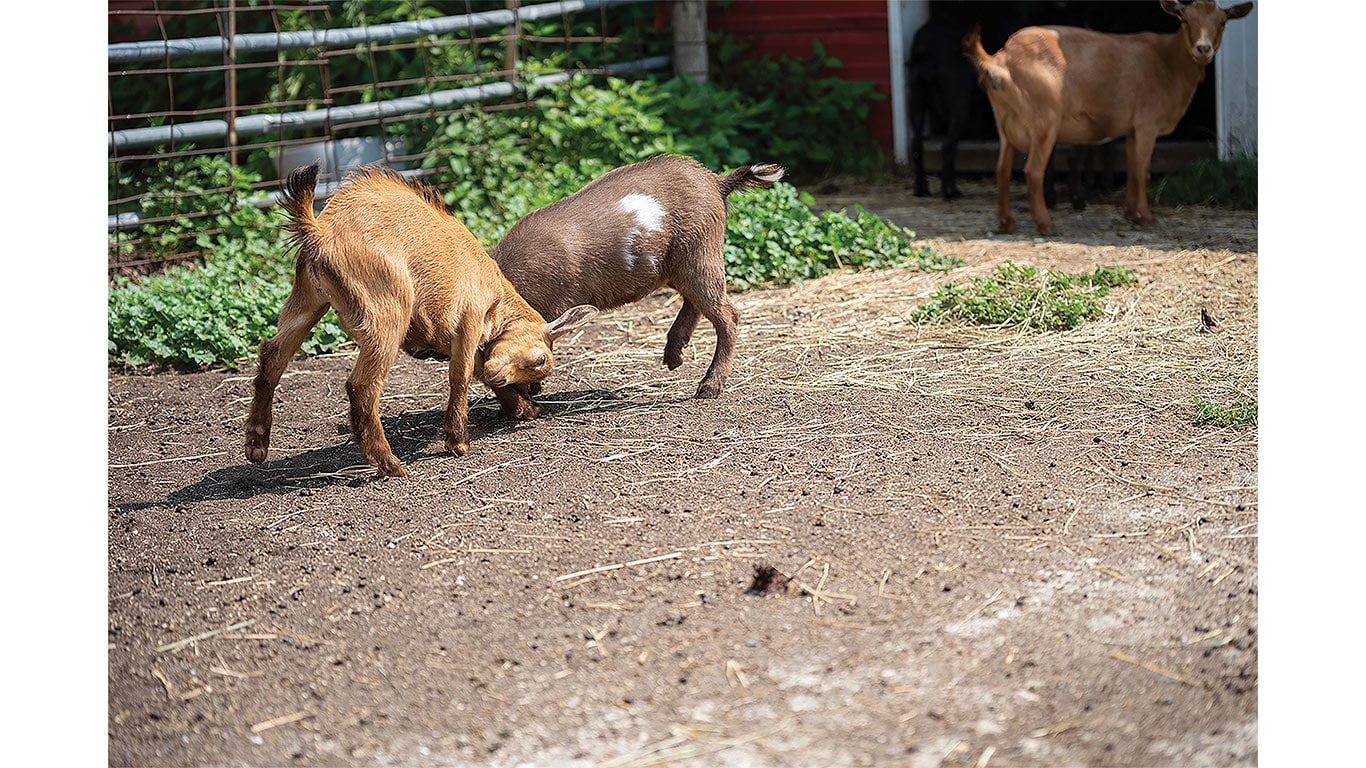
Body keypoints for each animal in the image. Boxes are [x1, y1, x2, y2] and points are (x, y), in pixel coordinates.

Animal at [243, 162, 598, 478]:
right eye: (540, 360)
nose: (509, 380)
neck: (495, 292)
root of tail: (321, 231)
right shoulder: (469, 320)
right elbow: (462, 375)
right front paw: (458, 441)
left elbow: (478, 368)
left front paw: (524, 410)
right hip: (386, 315)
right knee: (362, 386)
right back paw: (388, 463)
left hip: (307, 301)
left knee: (272, 355)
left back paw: (256, 444)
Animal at [488, 154, 784, 411]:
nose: (496, 377)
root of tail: (715, 181)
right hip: (681, 264)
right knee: (697, 302)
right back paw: (674, 356)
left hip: (700, 253)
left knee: (727, 315)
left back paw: (708, 388)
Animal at [964, 0, 1253, 235]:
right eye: (1184, 19)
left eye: (1222, 21)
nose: (1203, 49)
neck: (1167, 62)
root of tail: (1000, 58)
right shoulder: (1146, 124)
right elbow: (1144, 171)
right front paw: (1148, 218)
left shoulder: (1133, 130)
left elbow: (1133, 170)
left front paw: (1132, 215)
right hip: (1044, 120)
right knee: (1033, 171)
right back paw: (1046, 225)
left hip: (1005, 121)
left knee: (1002, 169)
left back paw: (1006, 223)